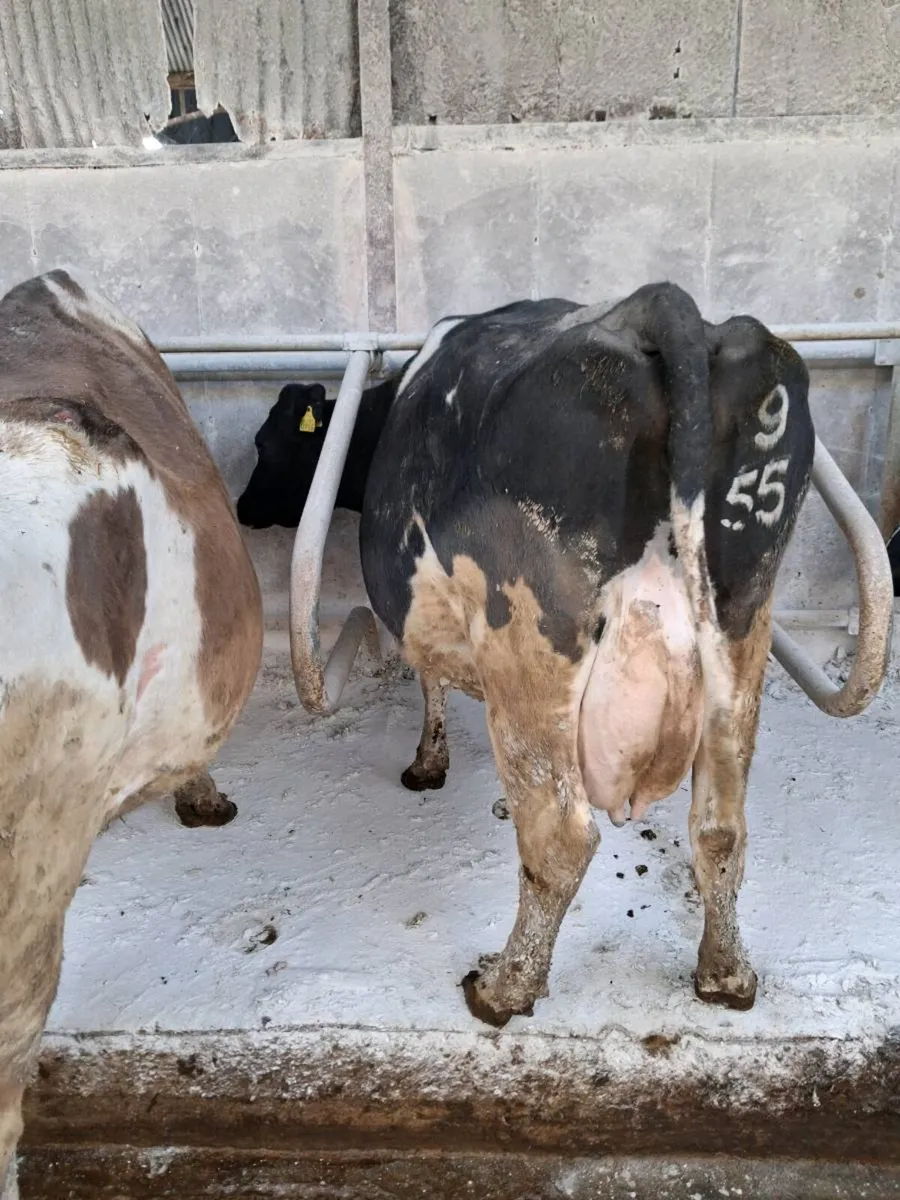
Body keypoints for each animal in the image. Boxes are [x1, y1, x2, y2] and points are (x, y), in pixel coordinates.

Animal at [238, 283, 815, 1029]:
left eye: (265, 441)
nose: (243, 506)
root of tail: (655, 307)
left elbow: (429, 678)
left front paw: (427, 764)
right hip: (744, 633)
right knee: (720, 830)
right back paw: (725, 975)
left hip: (528, 638)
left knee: (561, 838)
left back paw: (504, 986)